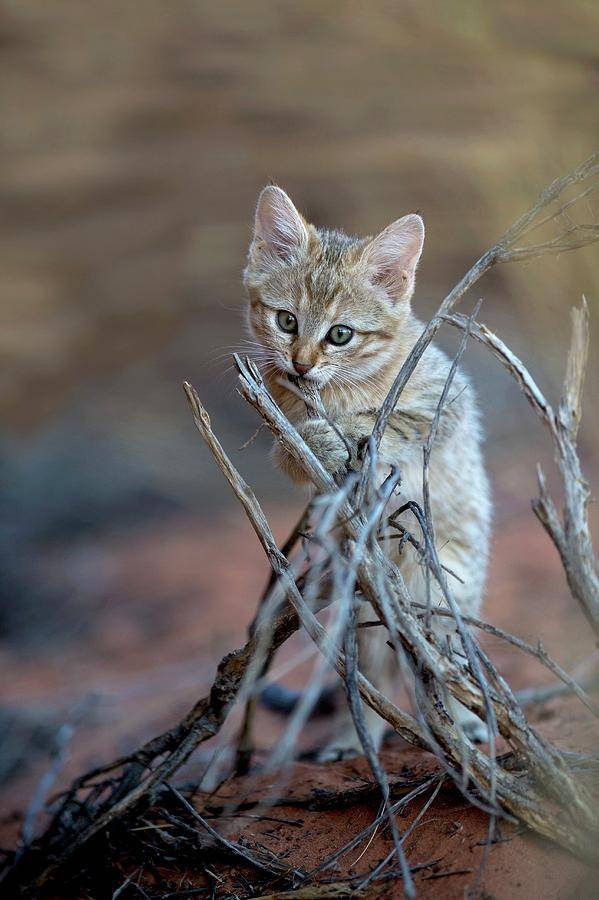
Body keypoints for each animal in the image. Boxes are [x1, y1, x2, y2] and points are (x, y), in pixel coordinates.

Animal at [244, 185, 492, 760]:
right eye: (286, 321)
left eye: (341, 334)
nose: (301, 365)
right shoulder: (282, 422)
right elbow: (290, 450)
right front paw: (317, 437)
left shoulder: (450, 402)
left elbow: (390, 421)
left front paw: (350, 427)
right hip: (363, 609)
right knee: (376, 681)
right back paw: (352, 741)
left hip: (441, 596)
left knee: (445, 669)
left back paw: (464, 725)